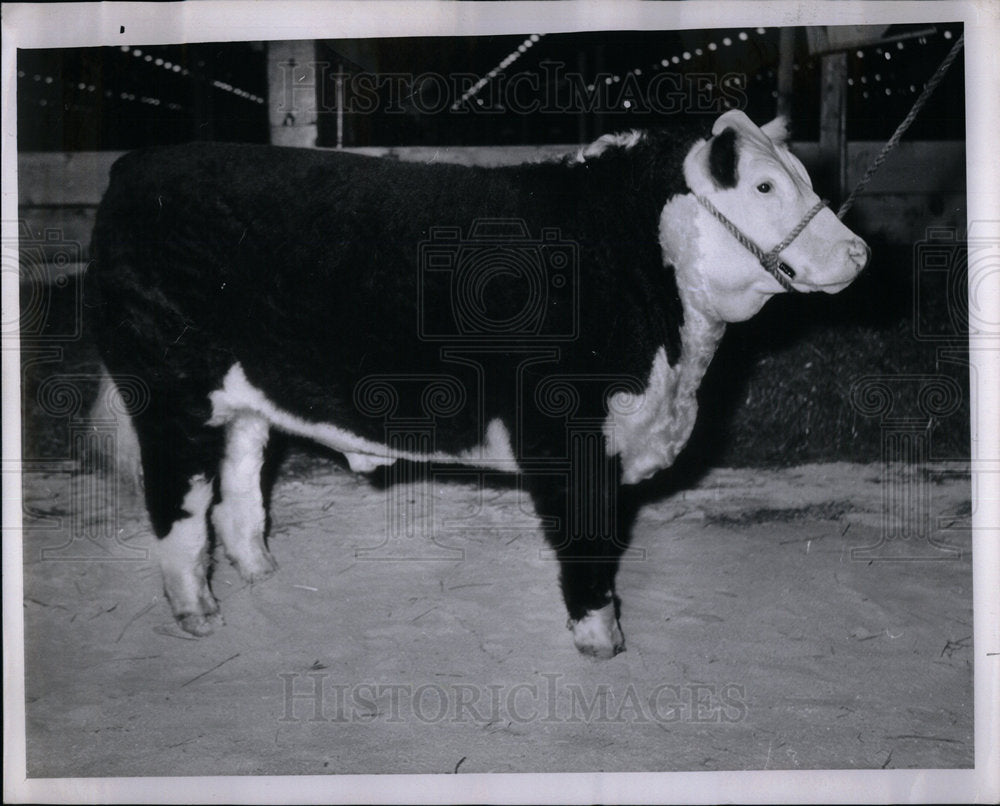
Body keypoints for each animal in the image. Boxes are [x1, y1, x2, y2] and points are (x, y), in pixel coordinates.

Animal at [86, 110, 868, 660]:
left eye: (802, 175)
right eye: (764, 186)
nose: (858, 252)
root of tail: (134, 165)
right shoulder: (568, 434)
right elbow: (586, 542)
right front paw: (601, 638)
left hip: (246, 392)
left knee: (241, 476)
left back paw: (257, 567)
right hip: (167, 389)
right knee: (181, 502)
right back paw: (195, 610)